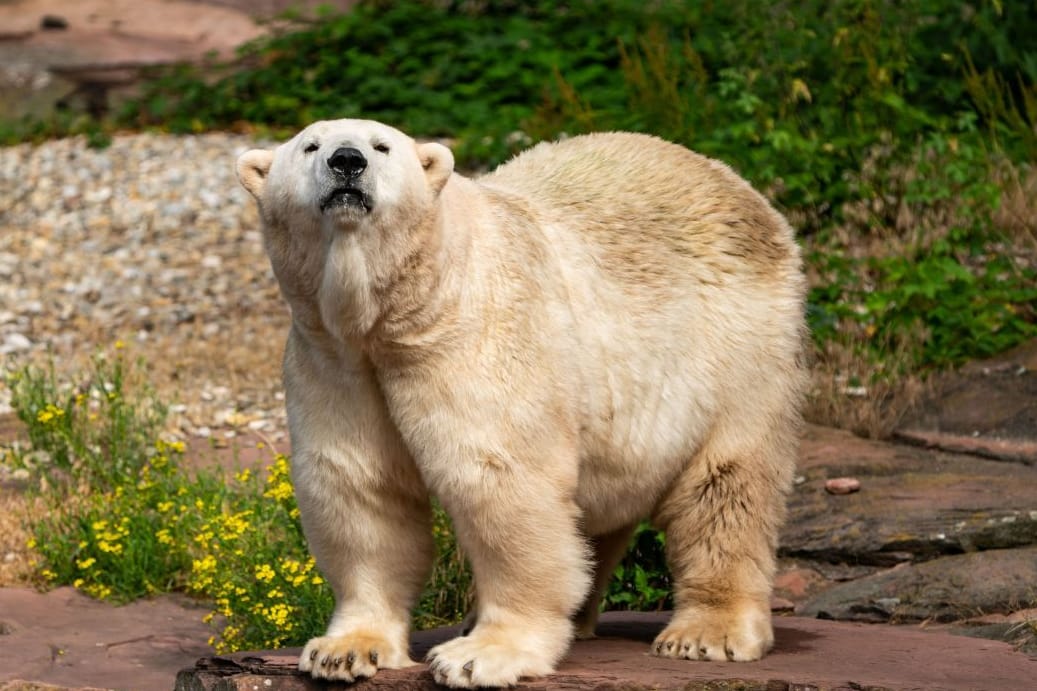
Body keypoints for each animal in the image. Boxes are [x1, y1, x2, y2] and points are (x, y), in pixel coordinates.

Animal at [237, 118, 808, 684]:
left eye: (382, 146)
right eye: (310, 145)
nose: (347, 162)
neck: (404, 309)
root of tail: (737, 186)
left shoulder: (475, 337)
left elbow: (499, 482)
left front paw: (481, 654)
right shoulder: (336, 363)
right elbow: (363, 490)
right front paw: (345, 651)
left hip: (734, 348)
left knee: (725, 484)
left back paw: (705, 632)